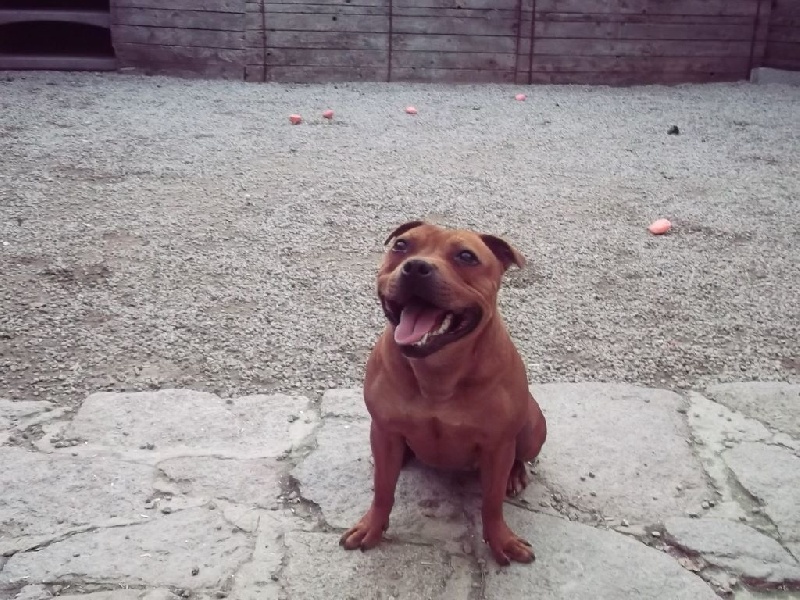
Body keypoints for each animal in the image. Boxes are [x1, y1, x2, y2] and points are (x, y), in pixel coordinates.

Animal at [340, 221, 548, 568]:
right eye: (401, 246)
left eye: (466, 256)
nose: (416, 267)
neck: (437, 369)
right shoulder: (384, 430)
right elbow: (383, 489)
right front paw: (372, 526)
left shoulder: (498, 444)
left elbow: (491, 503)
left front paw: (501, 541)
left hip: (533, 426)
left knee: (520, 454)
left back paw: (515, 475)